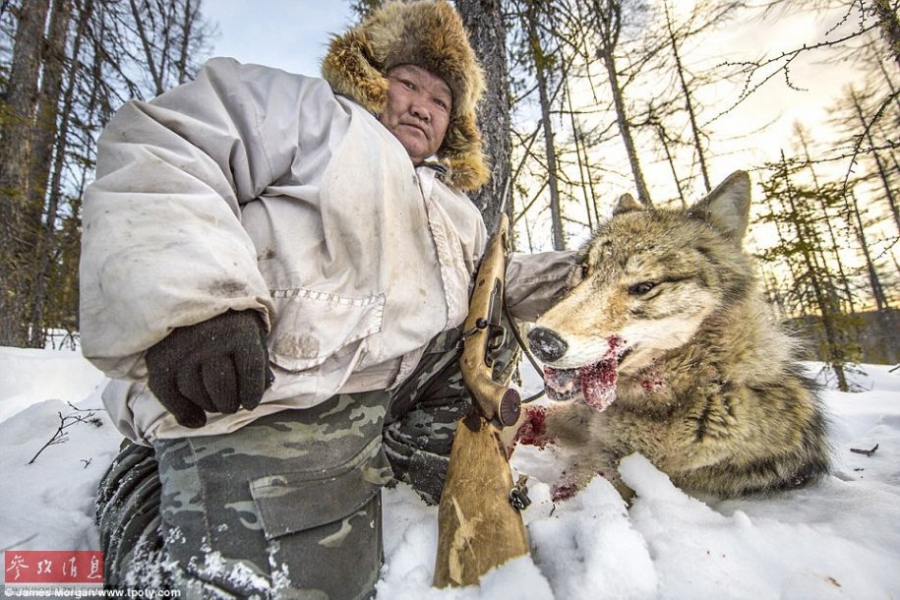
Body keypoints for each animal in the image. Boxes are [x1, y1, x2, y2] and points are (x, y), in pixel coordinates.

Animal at [516, 171, 832, 500]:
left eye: (644, 286)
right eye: (585, 270)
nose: (541, 341)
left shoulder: (617, 467)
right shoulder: (582, 419)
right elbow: (527, 414)